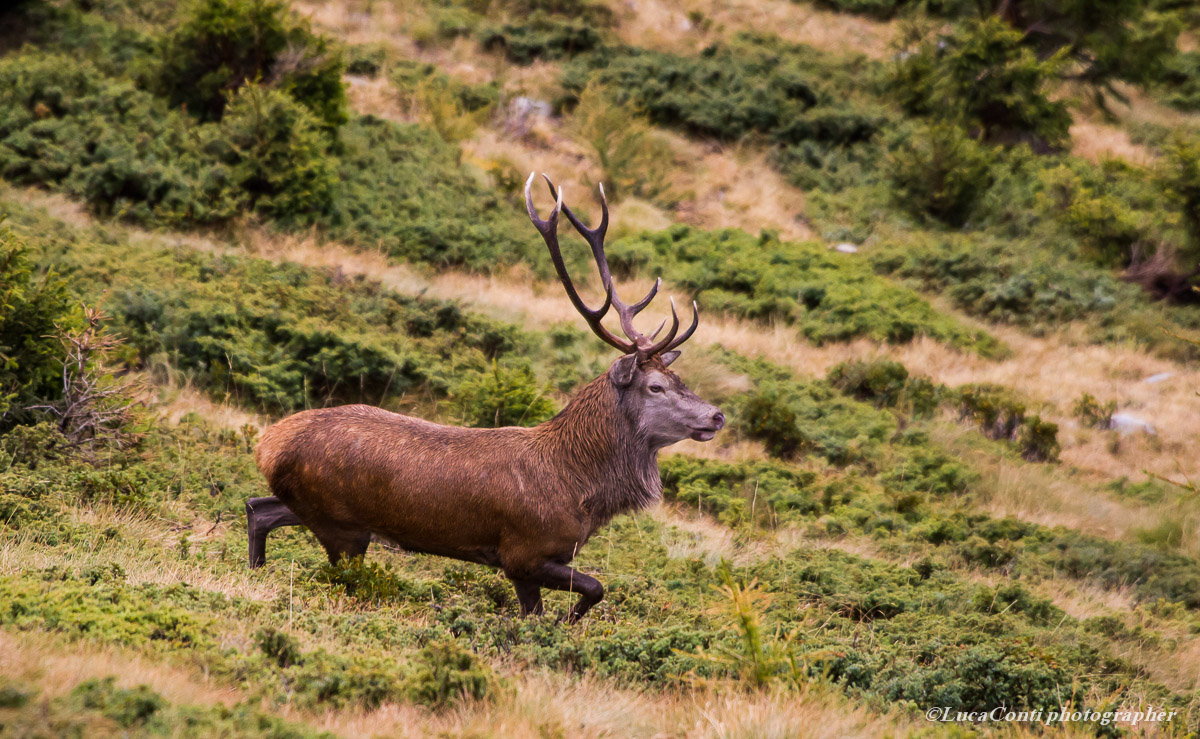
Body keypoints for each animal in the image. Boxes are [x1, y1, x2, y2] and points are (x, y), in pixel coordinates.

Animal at [246, 173, 725, 623]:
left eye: (678, 376)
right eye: (655, 386)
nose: (717, 416)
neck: (581, 491)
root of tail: (266, 444)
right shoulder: (523, 553)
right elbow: (593, 588)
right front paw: (567, 623)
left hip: (314, 508)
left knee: (258, 507)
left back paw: (255, 570)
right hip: (343, 526)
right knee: (333, 566)